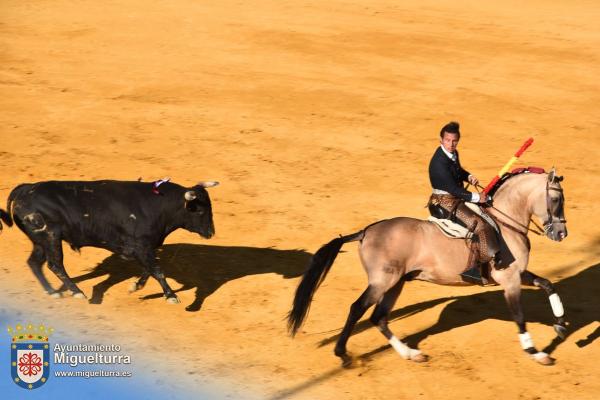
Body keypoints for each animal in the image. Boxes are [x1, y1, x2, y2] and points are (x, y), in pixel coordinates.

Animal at [0, 179, 219, 304]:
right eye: (199, 210)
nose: (211, 232)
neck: (158, 204)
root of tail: (26, 189)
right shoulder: (141, 246)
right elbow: (157, 270)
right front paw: (171, 295)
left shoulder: (144, 248)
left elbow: (149, 269)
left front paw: (135, 286)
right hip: (50, 237)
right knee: (55, 265)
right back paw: (77, 293)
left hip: (41, 241)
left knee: (34, 263)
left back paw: (53, 292)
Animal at [288, 168, 568, 366]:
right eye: (555, 199)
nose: (562, 234)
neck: (505, 222)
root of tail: (365, 232)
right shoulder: (509, 280)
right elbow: (519, 316)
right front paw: (536, 353)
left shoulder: (518, 274)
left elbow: (548, 284)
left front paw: (561, 325)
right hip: (382, 281)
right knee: (358, 309)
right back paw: (343, 354)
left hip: (396, 283)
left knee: (379, 317)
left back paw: (411, 353)